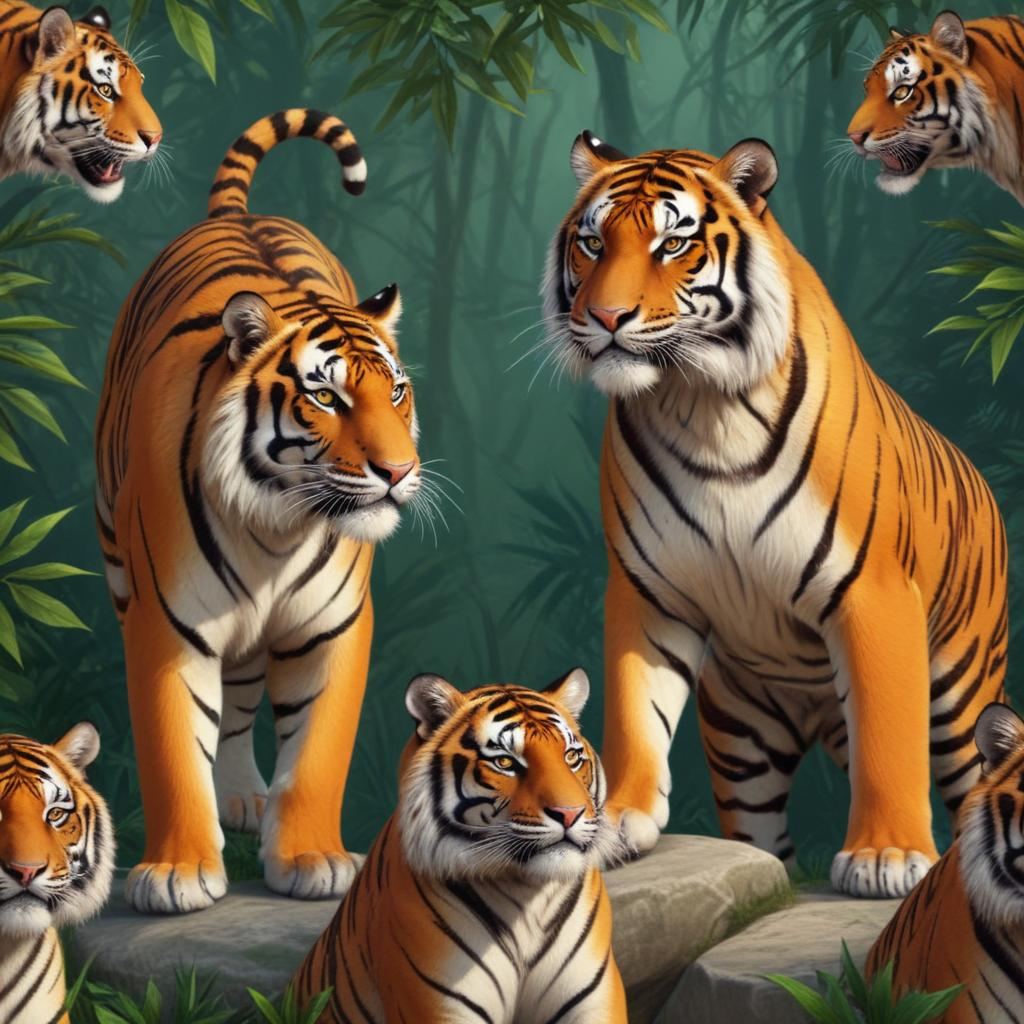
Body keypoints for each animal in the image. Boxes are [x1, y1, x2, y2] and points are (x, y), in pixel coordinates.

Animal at [94, 108, 423, 914]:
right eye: (327, 396)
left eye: (396, 393)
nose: (399, 471)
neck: (276, 527)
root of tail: (236, 215)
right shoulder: (165, 623)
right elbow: (173, 746)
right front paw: (177, 874)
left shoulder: (334, 626)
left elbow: (317, 751)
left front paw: (312, 860)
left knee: (242, 698)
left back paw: (245, 798)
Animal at [293, 669, 627, 1024]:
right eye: (505, 763)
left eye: (571, 757)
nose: (570, 814)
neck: (527, 898)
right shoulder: (437, 1003)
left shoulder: (593, 1000)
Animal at [541, 130, 1007, 898]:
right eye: (592, 243)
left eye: (672, 244)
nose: (605, 320)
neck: (698, 401)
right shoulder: (648, 590)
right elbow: (635, 711)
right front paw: (614, 823)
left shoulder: (872, 592)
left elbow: (888, 736)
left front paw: (886, 857)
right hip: (743, 740)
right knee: (764, 843)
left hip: (962, 692)